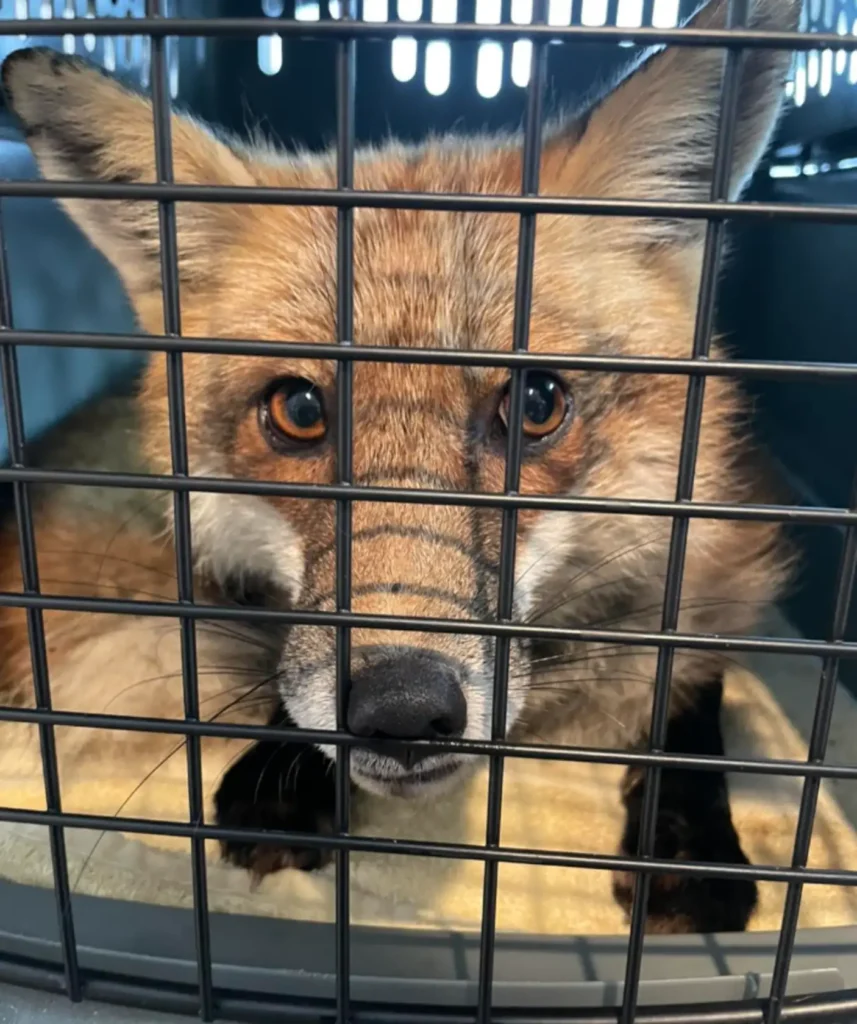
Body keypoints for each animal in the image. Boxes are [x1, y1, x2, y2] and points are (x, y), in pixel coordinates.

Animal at [0, 0, 798, 936]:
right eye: (298, 410)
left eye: (537, 402)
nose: (403, 712)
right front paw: (282, 775)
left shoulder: (716, 571)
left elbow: (690, 701)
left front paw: (689, 844)